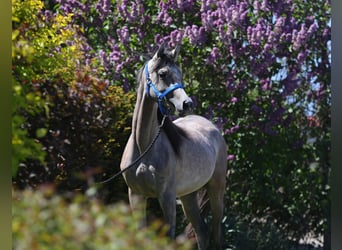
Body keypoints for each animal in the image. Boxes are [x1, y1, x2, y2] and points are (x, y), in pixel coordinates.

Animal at [120, 44, 227, 249]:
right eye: (163, 74)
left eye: (180, 74)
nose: (187, 104)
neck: (143, 147)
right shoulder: (136, 195)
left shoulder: (167, 198)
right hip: (188, 195)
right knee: (202, 232)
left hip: (216, 190)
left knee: (217, 233)